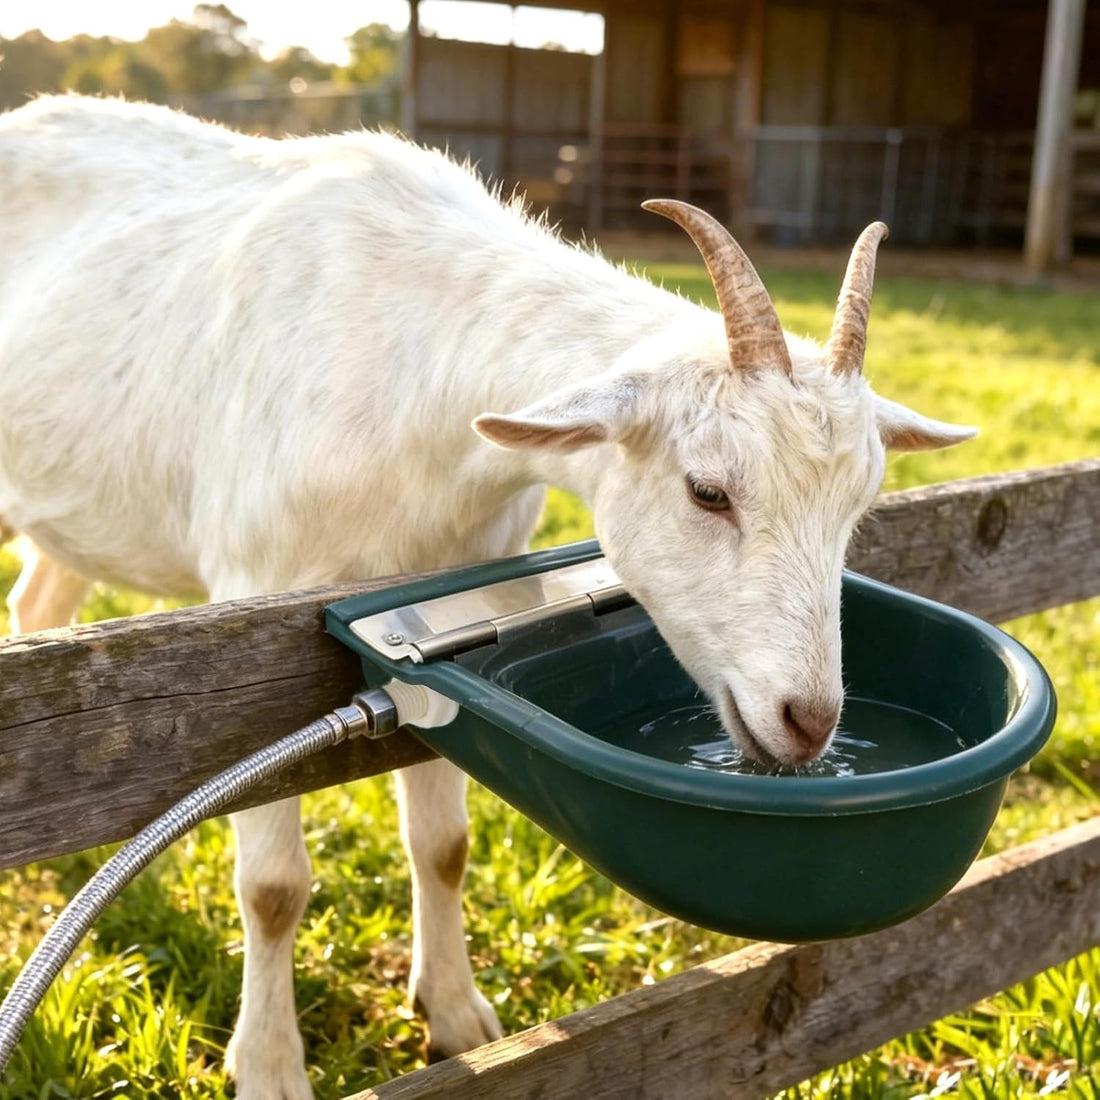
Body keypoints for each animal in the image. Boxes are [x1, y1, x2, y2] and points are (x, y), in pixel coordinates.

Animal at [0, 94, 974, 1098]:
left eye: (859, 504)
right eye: (708, 491)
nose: (809, 723)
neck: (412, 372)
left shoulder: (442, 608)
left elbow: (444, 844)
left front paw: (458, 1019)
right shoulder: (258, 596)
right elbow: (272, 890)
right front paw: (270, 1068)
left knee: (39, 603)